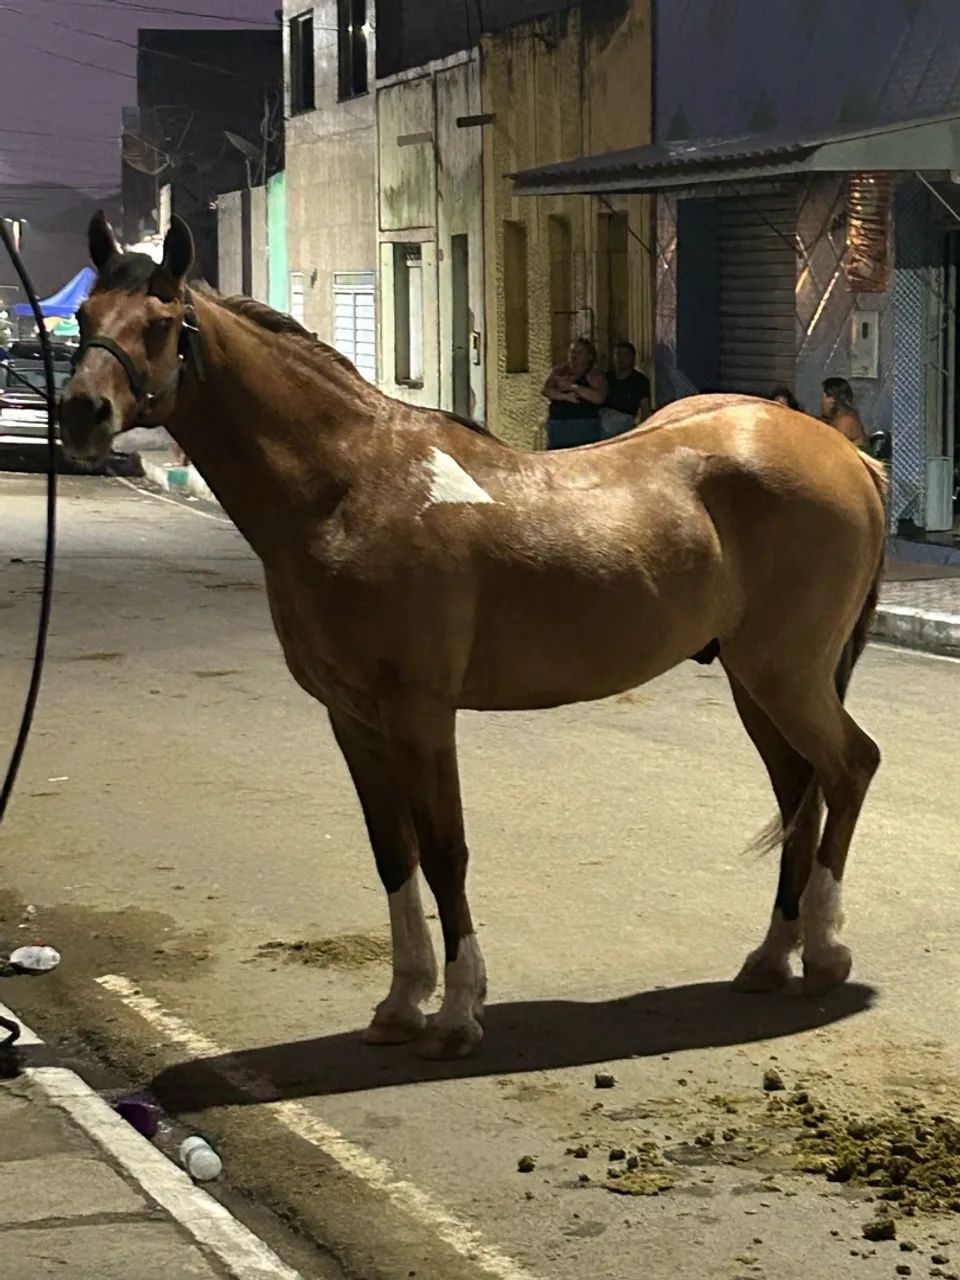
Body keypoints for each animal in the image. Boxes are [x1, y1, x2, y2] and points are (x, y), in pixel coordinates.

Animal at [58, 213, 887, 1060]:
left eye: (160, 323)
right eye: (85, 317)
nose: (81, 413)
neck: (349, 488)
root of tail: (846, 454)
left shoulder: (421, 713)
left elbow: (445, 850)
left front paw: (458, 1012)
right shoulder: (351, 718)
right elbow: (393, 852)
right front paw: (401, 1002)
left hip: (786, 674)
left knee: (849, 767)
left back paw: (824, 951)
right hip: (757, 681)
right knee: (801, 789)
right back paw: (772, 955)